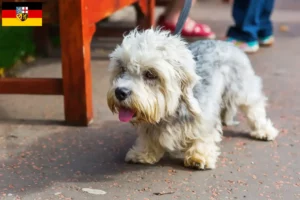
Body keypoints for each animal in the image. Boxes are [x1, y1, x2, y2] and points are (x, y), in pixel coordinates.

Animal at [106, 27, 278, 169]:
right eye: (122, 68)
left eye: (150, 74)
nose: (120, 92)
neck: (172, 111)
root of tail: (226, 43)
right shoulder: (150, 124)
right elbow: (148, 138)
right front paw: (143, 153)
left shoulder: (205, 118)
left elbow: (203, 136)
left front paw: (199, 157)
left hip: (241, 89)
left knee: (255, 108)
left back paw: (263, 130)